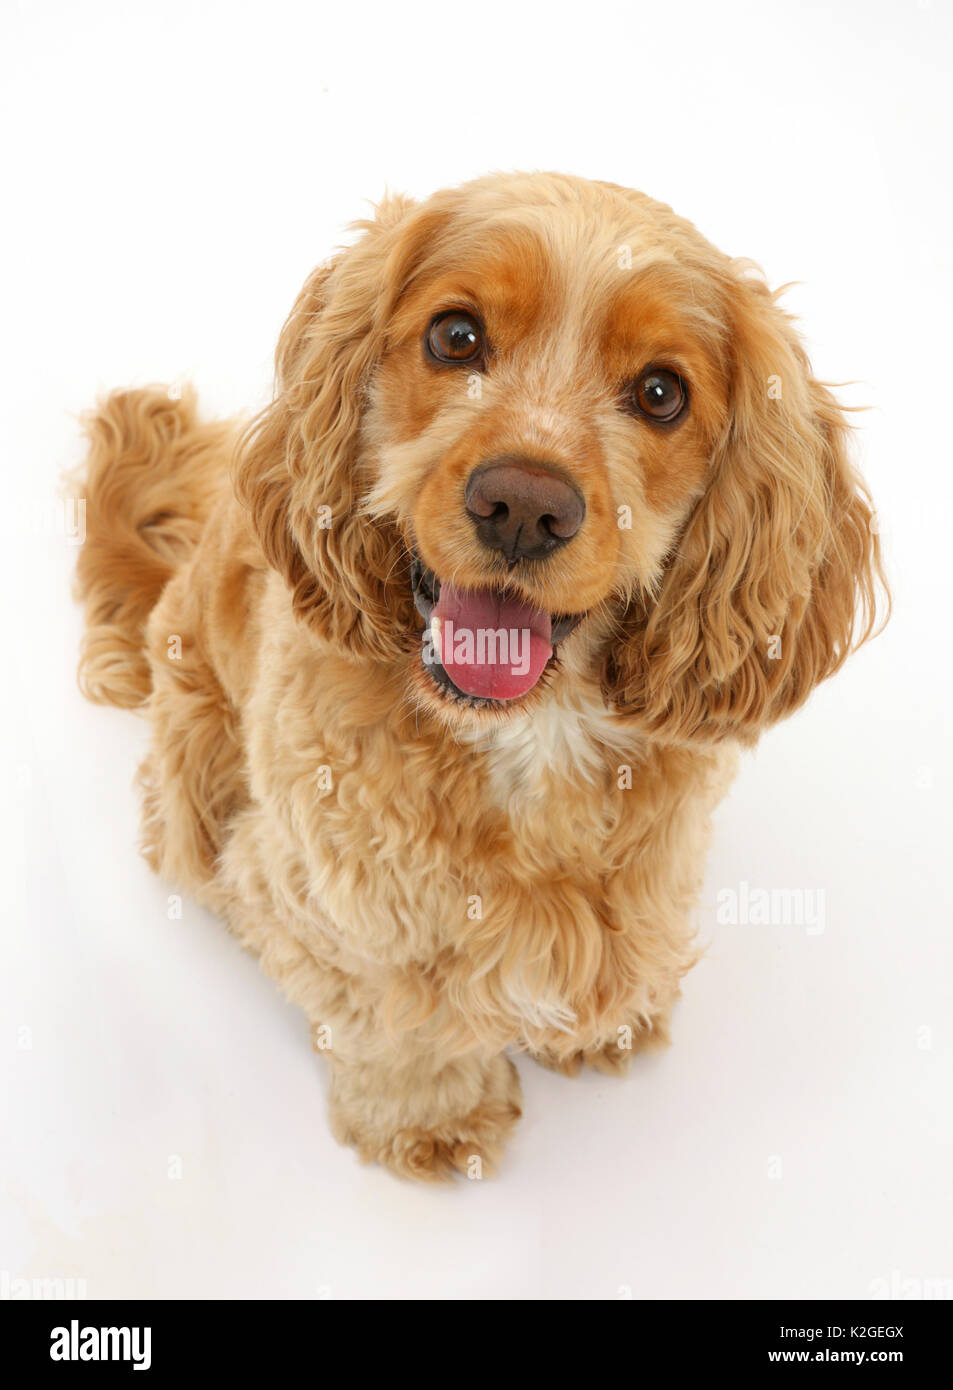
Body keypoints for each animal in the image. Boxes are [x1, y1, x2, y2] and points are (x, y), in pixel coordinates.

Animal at [74, 168, 889, 1178]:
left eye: (662, 393)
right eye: (455, 336)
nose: (524, 506)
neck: (528, 736)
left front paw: (606, 1023)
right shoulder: (306, 885)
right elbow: (388, 1013)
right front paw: (430, 1116)